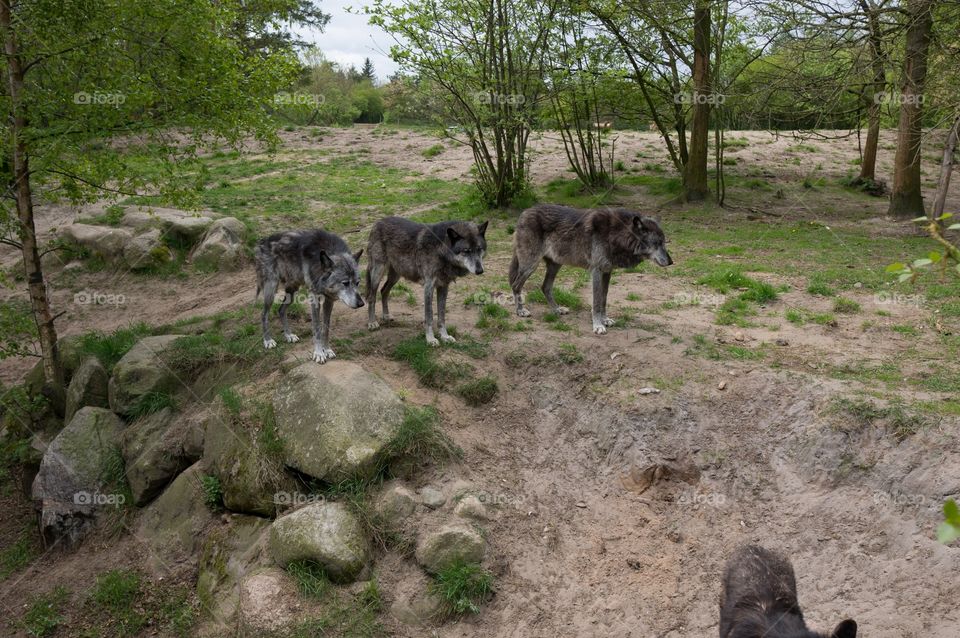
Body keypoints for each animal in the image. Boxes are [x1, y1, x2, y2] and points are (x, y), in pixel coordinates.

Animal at [254, 229, 364, 364]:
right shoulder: (314, 299)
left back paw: (289, 335)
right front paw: (319, 353)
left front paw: (327, 350)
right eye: (345, 283)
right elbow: (316, 328)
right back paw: (268, 340)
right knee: (263, 314)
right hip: (271, 288)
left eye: (357, 283)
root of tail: (262, 241)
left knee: (281, 310)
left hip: (293, 290)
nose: (361, 304)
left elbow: (325, 328)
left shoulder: (329, 300)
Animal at [365, 216, 487, 346]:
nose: (480, 270)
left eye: (479, 249)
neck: (441, 249)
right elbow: (429, 316)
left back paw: (386, 315)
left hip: (395, 276)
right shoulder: (428, 287)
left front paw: (445, 336)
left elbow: (441, 316)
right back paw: (372, 323)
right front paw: (430, 339)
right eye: (466, 251)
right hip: (377, 273)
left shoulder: (444, 286)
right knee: (372, 296)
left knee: (384, 291)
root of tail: (378, 222)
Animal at [509, 204, 672, 334]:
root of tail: (524, 212)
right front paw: (598, 325)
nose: (671, 262)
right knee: (516, 285)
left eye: (664, 242)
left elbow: (604, 299)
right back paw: (520, 311)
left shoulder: (607, 271)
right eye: (657, 243)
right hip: (530, 265)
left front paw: (605, 320)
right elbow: (596, 302)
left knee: (545, 287)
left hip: (555, 265)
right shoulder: (596, 271)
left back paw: (557, 309)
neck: (615, 234)